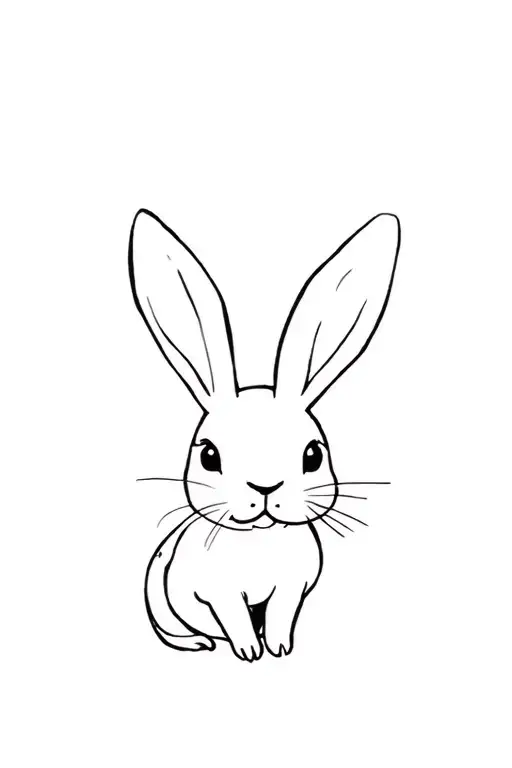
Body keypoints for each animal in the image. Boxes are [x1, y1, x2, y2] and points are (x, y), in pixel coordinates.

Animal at [129, 209, 400, 661]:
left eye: (312, 455)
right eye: (209, 456)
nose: (266, 488)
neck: (261, 543)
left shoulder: (292, 589)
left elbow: (280, 617)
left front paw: (279, 648)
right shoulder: (218, 595)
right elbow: (236, 619)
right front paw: (249, 652)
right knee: (172, 627)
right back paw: (200, 642)